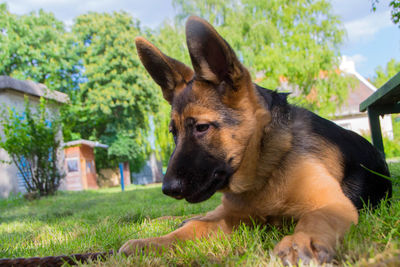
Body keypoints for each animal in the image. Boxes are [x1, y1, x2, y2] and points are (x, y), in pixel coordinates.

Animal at [119, 16, 394, 266]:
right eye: (173, 133)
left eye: (201, 127)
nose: (168, 188)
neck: (265, 170)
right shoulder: (230, 217)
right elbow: (190, 229)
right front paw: (152, 242)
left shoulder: (332, 204)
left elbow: (315, 219)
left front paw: (299, 243)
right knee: (195, 217)